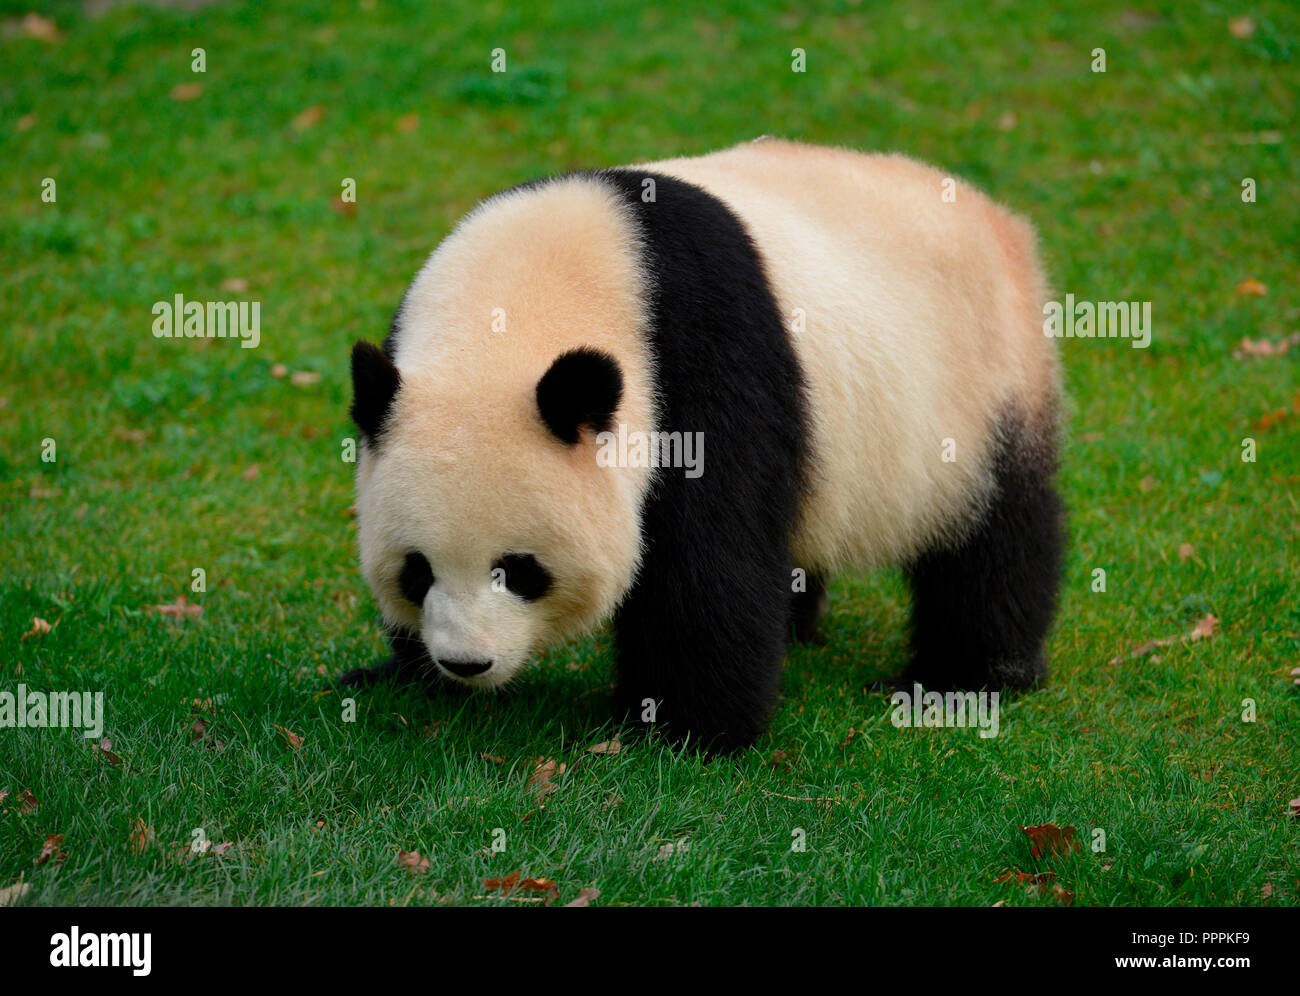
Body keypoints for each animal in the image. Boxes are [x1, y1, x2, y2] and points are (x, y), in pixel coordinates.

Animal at [340, 136, 1060, 754]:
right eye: (416, 569)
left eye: (519, 570)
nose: (467, 662)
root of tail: (996, 217)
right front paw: (397, 675)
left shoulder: (701, 364)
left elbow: (710, 560)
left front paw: (685, 727)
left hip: (980, 386)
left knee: (994, 540)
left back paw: (965, 675)